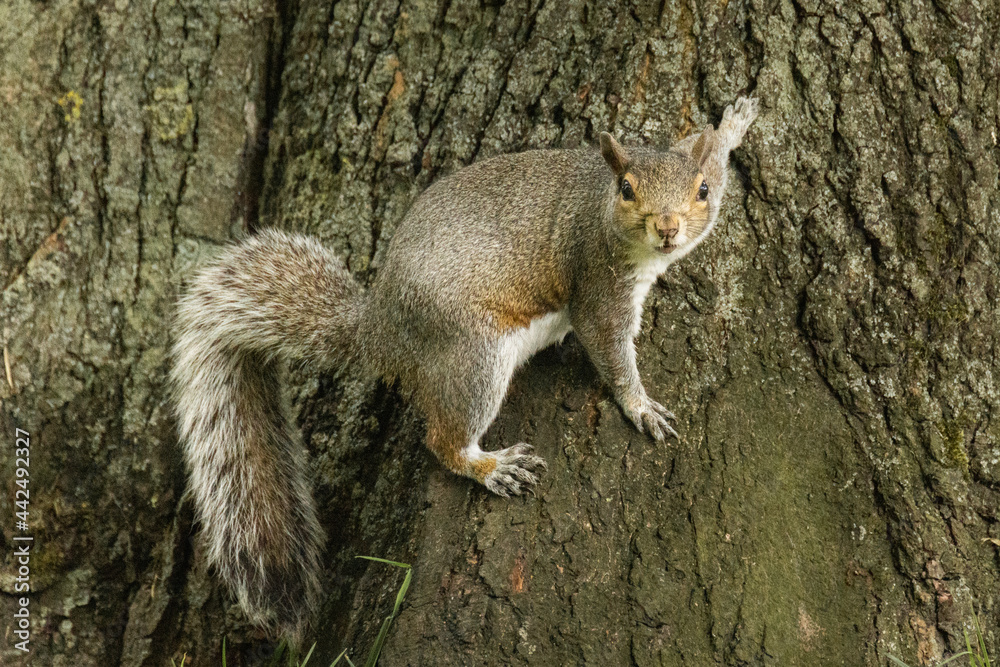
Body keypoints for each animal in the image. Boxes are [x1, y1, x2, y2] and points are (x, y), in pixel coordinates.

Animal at [171, 96, 759, 640]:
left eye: (702, 191)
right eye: (628, 190)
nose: (668, 228)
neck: (602, 210)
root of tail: (381, 329)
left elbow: (712, 150)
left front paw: (731, 126)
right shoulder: (597, 283)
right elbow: (610, 350)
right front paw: (639, 406)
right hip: (475, 356)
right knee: (442, 441)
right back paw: (491, 467)